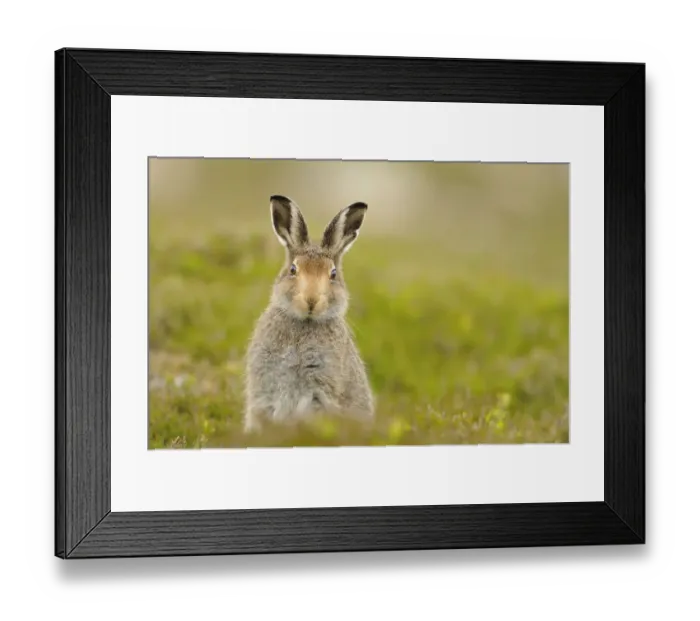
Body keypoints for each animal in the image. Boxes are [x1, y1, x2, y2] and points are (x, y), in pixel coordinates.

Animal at [243, 195, 374, 433]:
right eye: (293, 270)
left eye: (333, 274)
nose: (311, 301)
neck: (304, 324)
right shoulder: (265, 389)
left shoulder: (318, 392)